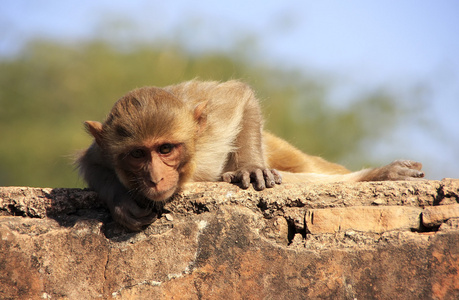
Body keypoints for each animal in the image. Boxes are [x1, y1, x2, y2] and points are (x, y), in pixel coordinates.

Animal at [77, 79, 426, 230]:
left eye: (165, 149)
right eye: (138, 154)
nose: (154, 177)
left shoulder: (212, 128)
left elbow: (241, 97)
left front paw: (249, 168)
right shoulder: (106, 150)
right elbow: (91, 162)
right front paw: (122, 205)